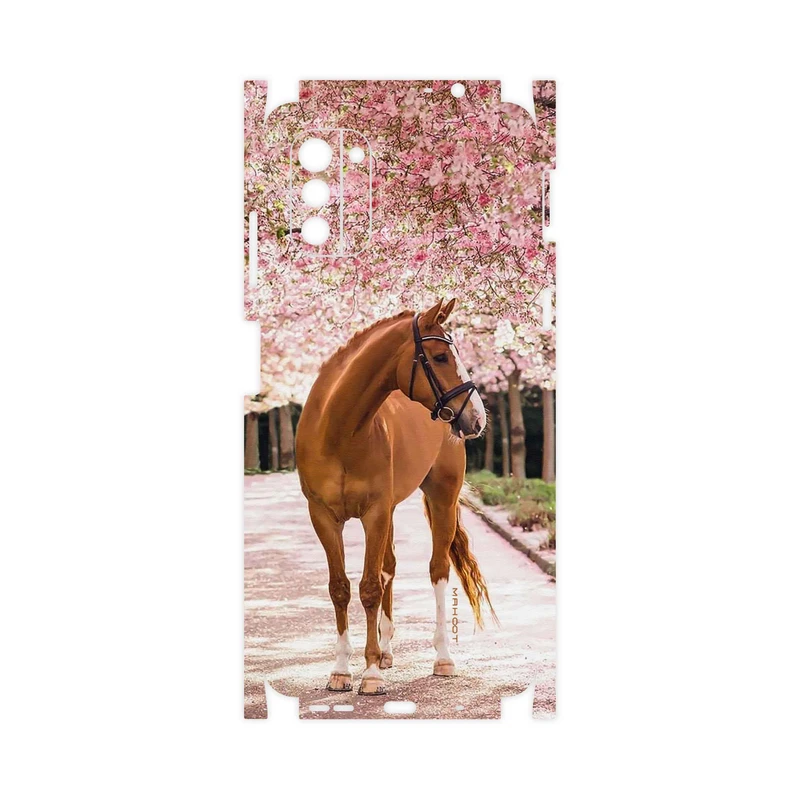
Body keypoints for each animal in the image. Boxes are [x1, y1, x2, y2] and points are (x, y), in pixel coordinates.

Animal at [295, 298, 495, 695]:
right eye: (440, 356)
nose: (477, 418)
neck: (339, 431)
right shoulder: (324, 517)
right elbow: (340, 588)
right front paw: (341, 670)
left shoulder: (374, 513)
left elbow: (370, 588)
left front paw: (370, 674)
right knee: (389, 567)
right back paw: (386, 651)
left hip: (441, 497)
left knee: (437, 570)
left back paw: (442, 658)